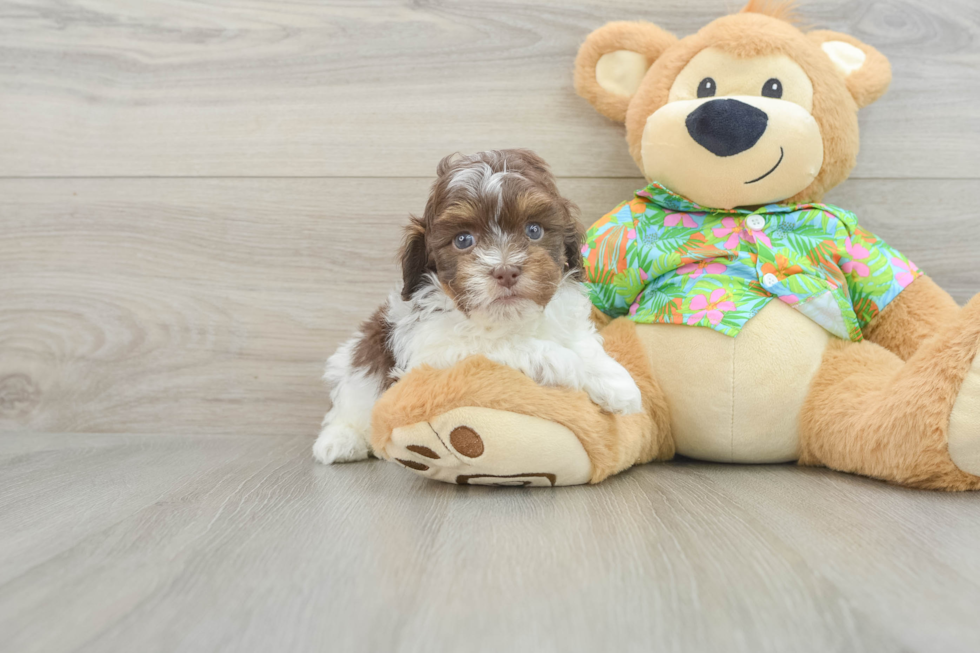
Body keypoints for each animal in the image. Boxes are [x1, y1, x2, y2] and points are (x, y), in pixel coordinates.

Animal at [314, 148, 644, 464]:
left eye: (534, 230)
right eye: (463, 240)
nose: (506, 271)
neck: (509, 318)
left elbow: (585, 345)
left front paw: (616, 383)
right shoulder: (432, 352)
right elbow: (510, 345)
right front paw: (569, 362)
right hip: (357, 365)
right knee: (347, 402)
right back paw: (339, 441)